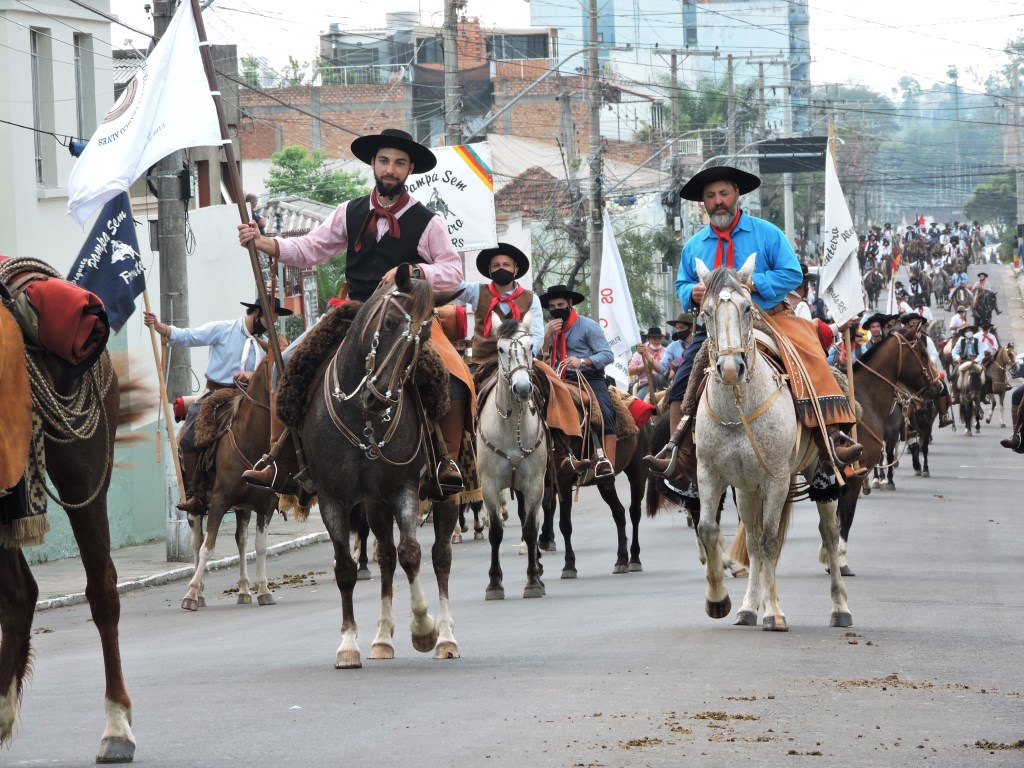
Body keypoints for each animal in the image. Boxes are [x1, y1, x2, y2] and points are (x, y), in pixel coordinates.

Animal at [177, 354, 280, 614]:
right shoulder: (219, 501)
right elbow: (208, 547)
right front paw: (191, 594)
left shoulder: (265, 506)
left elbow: (260, 546)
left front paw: (263, 590)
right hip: (196, 506)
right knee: (196, 542)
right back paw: (199, 591)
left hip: (243, 509)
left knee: (241, 541)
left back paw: (244, 590)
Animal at [475, 315, 548, 598]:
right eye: (501, 349)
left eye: (530, 346)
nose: (522, 388)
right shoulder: (490, 485)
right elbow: (495, 532)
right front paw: (494, 583)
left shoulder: (534, 484)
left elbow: (530, 529)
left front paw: (533, 581)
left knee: (534, 522)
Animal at [692, 259, 851, 630]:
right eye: (705, 311)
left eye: (748, 308)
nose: (731, 368)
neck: (738, 411)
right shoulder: (710, 474)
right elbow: (710, 529)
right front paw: (718, 600)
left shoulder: (775, 478)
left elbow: (770, 542)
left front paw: (775, 613)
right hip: (747, 488)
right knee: (750, 541)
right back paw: (749, 607)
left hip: (815, 473)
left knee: (828, 532)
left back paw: (840, 609)